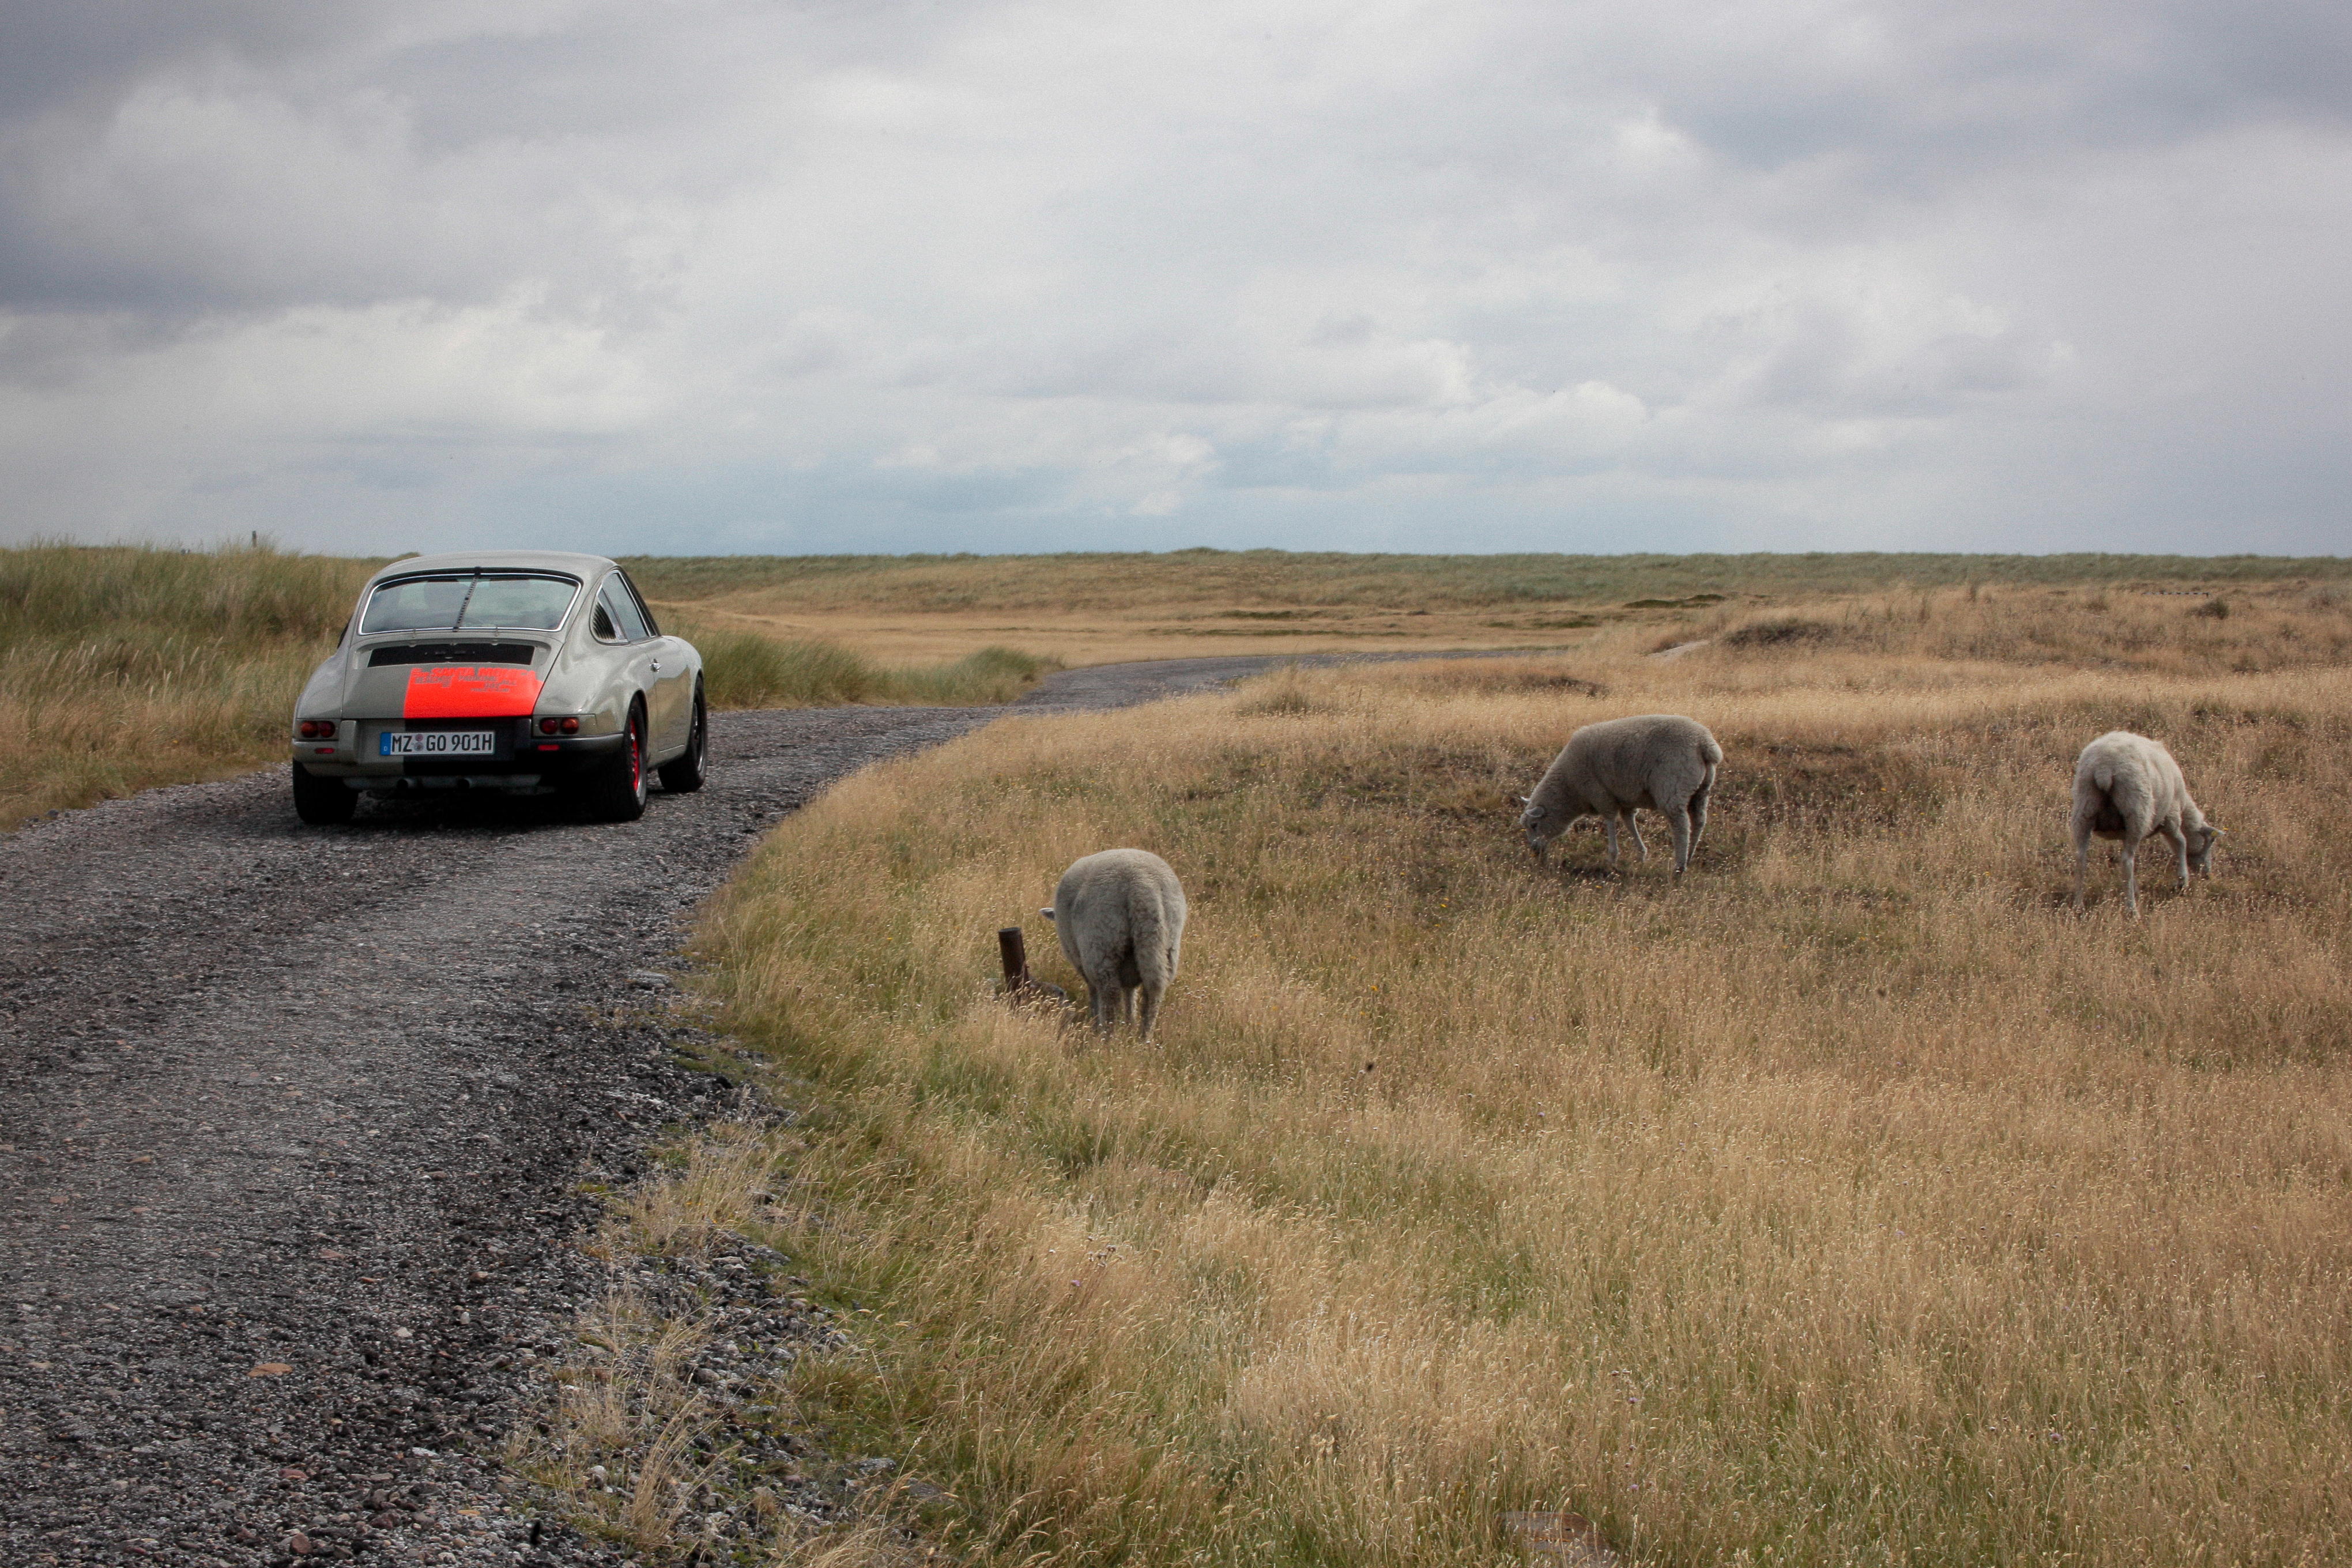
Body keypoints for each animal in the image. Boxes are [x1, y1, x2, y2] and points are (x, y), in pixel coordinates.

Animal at [1044, 851, 1185, 1034]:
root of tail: (1142, 884)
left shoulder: (1082, 962)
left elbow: (1094, 991)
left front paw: (1096, 1020)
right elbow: (1130, 992)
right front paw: (1130, 1022)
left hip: (1102, 940)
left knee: (1110, 993)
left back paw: (1105, 1035)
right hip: (1163, 940)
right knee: (1154, 989)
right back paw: (1144, 1036)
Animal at [1514, 719, 1721, 879]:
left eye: (1534, 825)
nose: (1535, 851)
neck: (1569, 788)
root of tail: (1704, 743)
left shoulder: (1601, 794)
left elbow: (1610, 820)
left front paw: (1612, 858)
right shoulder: (1625, 799)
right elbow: (1629, 822)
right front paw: (1641, 855)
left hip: (1672, 787)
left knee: (1681, 827)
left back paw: (1679, 865)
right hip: (1701, 790)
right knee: (1699, 822)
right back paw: (1689, 857)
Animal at [2079, 738, 2220, 921]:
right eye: (2211, 842)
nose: (2208, 875)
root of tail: (2104, 768)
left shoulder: (2124, 832)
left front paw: (2135, 887)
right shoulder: (2171, 816)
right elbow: (2181, 843)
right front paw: (2182, 882)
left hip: (2084, 806)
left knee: (2081, 858)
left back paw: (2079, 907)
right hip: (2136, 809)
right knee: (2127, 861)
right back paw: (2132, 910)